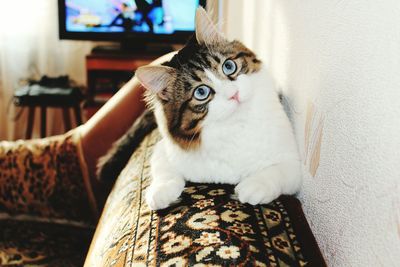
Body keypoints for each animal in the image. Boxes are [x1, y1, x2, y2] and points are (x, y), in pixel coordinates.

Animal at [98, 7, 302, 210]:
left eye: (229, 66)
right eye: (201, 92)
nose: (233, 94)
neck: (235, 124)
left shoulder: (292, 163)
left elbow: (277, 171)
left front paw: (254, 186)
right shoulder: (163, 150)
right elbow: (164, 171)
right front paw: (160, 192)